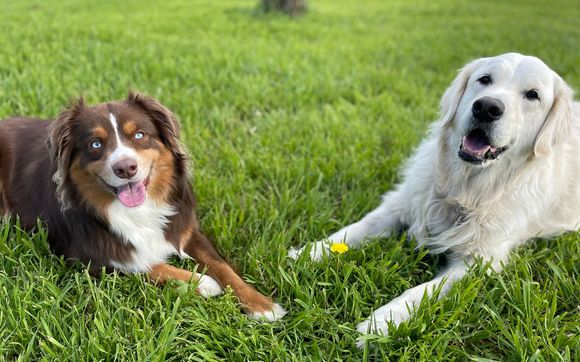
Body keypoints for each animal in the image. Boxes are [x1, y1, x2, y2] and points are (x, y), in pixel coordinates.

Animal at [0, 92, 286, 320]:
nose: (126, 168)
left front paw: (261, 304)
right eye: (95, 144)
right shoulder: (85, 254)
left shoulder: (186, 230)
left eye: (139, 135)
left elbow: (223, 267)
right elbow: (143, 263)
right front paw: (202, 282)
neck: (137, 210)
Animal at [290, 53, 580, 346]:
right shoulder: (400, 204)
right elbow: (351, 231)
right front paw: (306, 253)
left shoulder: (478, 261)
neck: (463, 188)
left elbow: (423, 291)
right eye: (484, 79)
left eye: (532, 95)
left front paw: (381, 322)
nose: (486, 107)